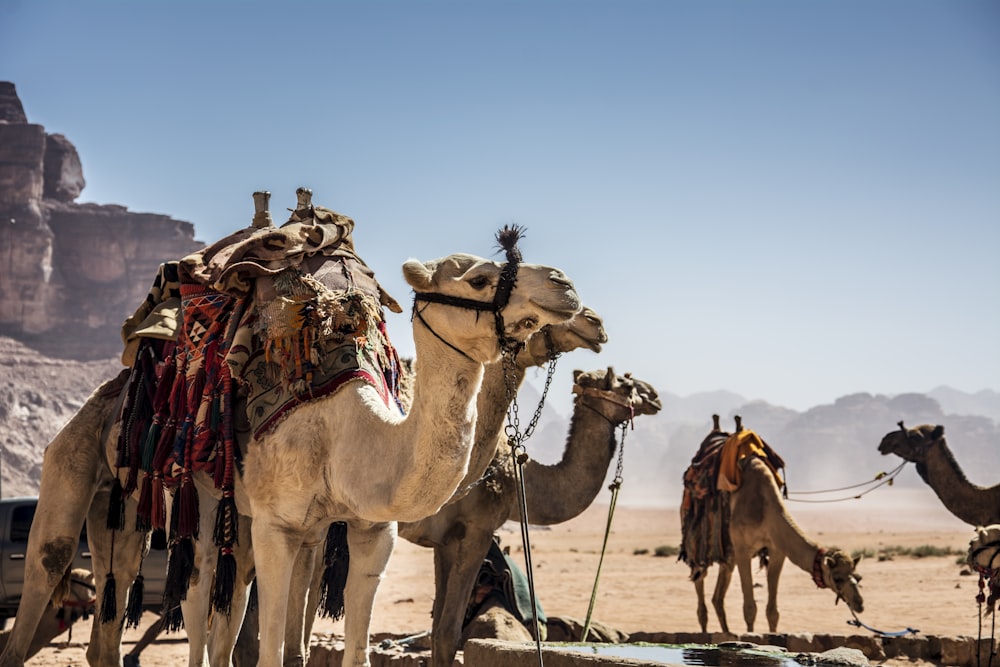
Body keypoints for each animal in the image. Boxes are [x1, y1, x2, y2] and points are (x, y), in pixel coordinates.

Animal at [398, 366, 664, 667]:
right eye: (626, 383)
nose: (655, 396)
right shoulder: (479, 528)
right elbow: (447, 634)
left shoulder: (446, 539)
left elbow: (436, 629)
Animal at [680, 418, 868, 636]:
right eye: (837, 578)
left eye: (858, 577)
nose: (859, 604)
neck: (764, 506)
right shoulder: (743, 550)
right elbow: (749, 608)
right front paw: (750, 637)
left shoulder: (778, 552)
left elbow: (772, 611)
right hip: (698, 544)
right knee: (700, 583)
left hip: (728, 554)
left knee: (718, 598)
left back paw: (726, 633)